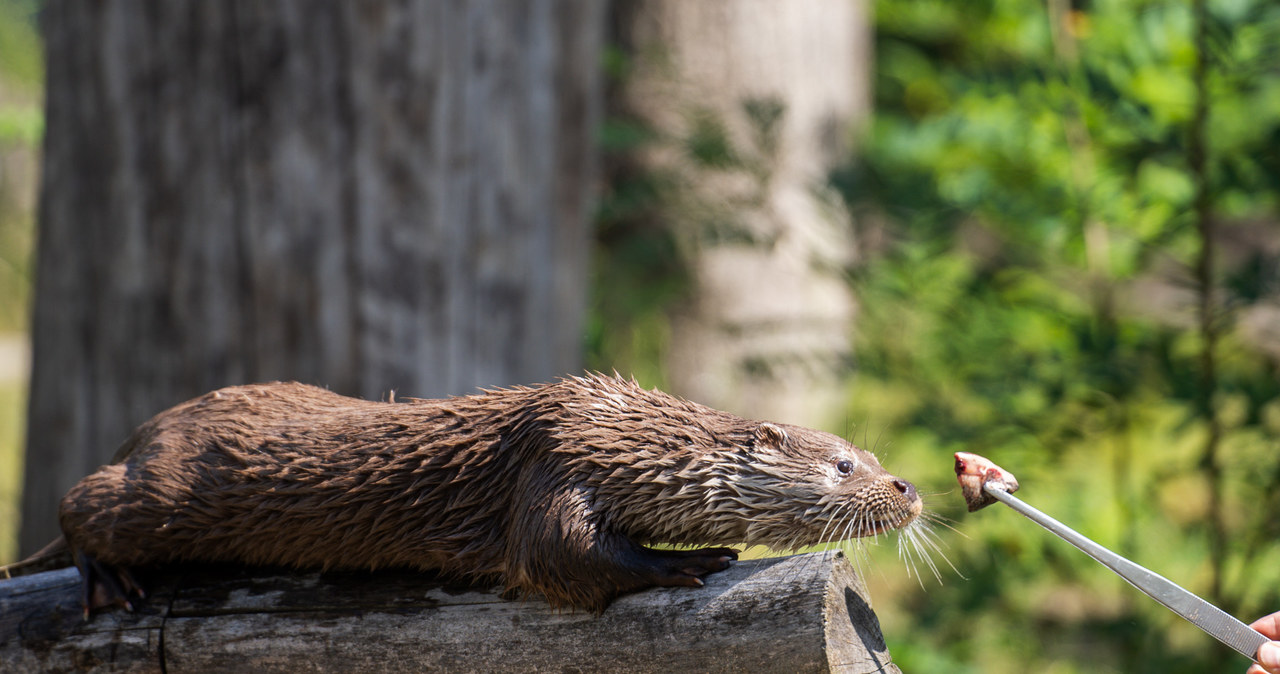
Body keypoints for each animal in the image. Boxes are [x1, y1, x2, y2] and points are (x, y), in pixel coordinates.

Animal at [60, 376, 926, 613]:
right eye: (844, 465)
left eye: (875, 455)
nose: (908, 486)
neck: (629, 439)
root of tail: (149, 427)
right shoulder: (558, 458)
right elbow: (556, 557)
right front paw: (692, 559)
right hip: (164, 490)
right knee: (80, 503)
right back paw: (107, 579)